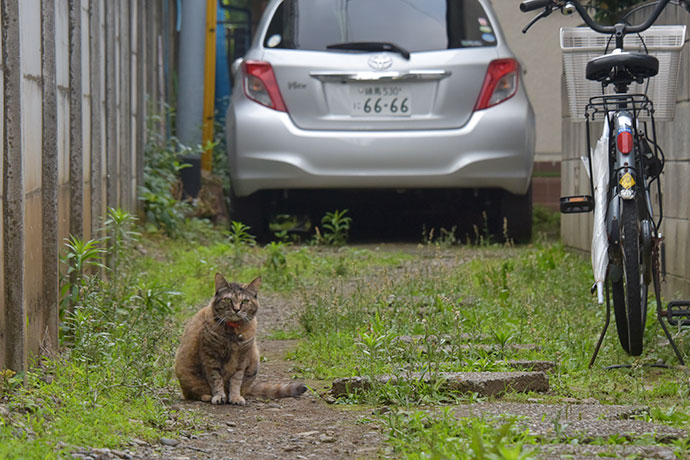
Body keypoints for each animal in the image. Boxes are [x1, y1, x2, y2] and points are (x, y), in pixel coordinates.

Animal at [173, 274, 306, 404]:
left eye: (245, 301)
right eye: (228, 299)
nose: (236, 309)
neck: (233, 331)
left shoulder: (242, 359)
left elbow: (236, 380)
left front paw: (235, 397)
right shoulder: (210, 357)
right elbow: (216, 379)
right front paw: (219, 396)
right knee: (193, 393)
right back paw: (207, 396)